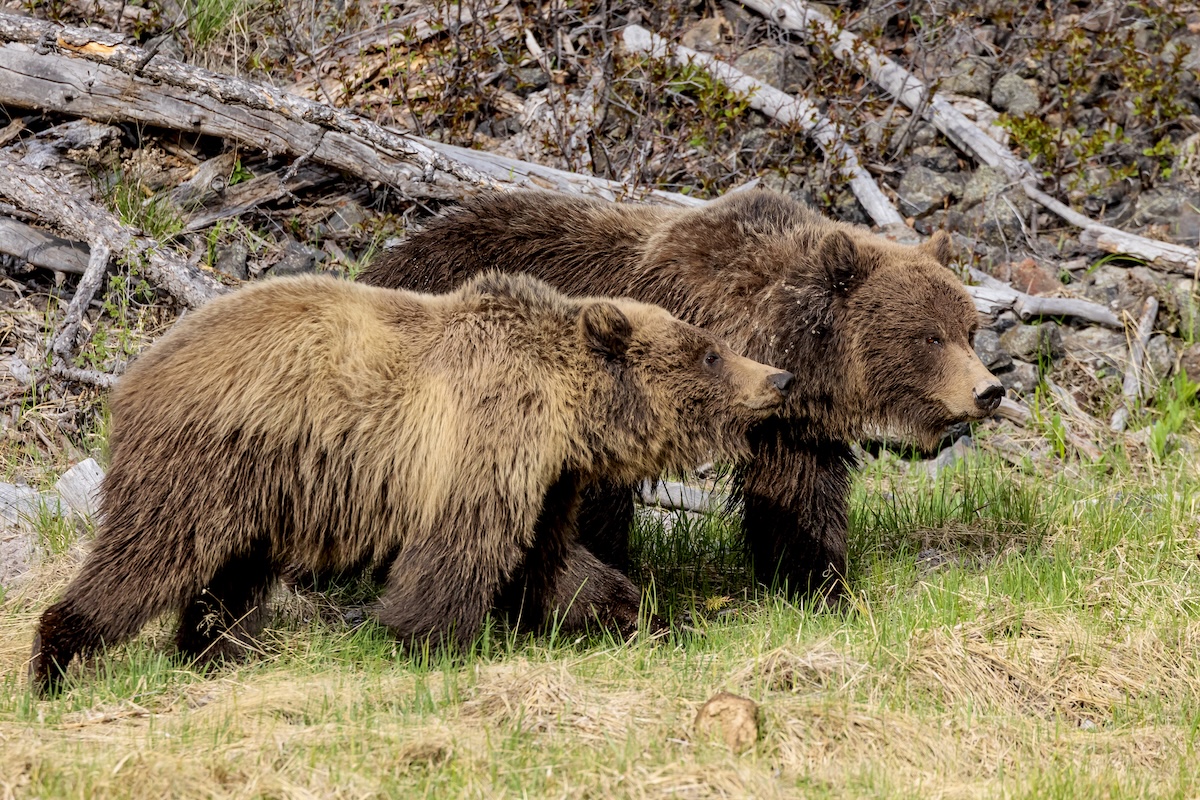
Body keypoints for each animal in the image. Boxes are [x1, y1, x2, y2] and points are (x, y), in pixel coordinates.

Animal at [31, 271, 793, 694]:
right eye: (710, 352)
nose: (779, 378)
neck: (563, 412)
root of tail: (132, 374)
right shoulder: (480, 445)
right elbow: (460, 552)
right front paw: (427, 639)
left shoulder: (548, 480)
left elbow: (551, 563)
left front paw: (648, 616)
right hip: (203, 461)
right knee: (149, 557)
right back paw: (57, 658)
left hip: (261, 486)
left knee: (231, 576)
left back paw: (211, 650)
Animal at [362, 189, 1005, 599]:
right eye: (929, 336)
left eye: (969, 329)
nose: (989, 390)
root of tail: (388, 259)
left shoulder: (790, 424)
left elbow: (798, 495)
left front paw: (816, 582)